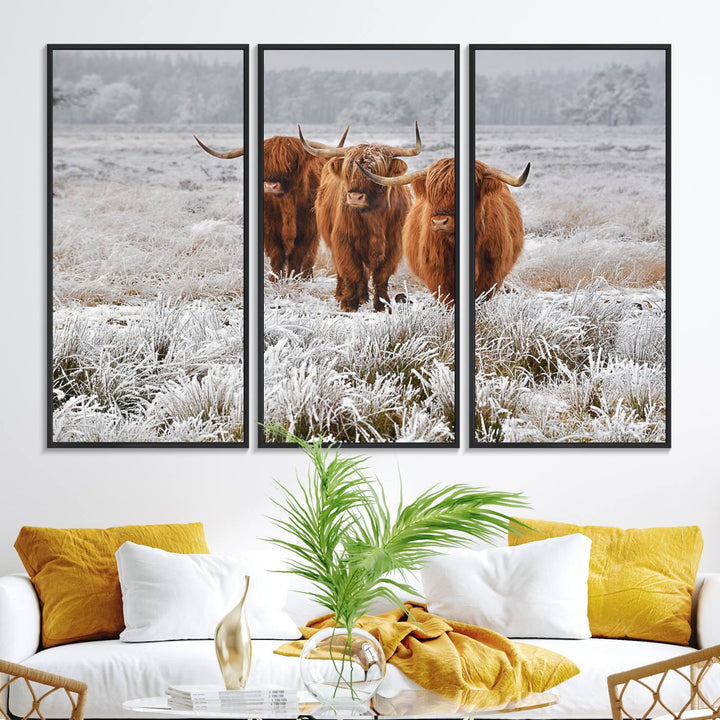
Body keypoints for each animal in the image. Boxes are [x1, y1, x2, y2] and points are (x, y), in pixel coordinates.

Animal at [193, 127, 348, 278]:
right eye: (263, 162)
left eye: (291, 161)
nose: (270, 186)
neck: (287, 204)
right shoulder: (270, 232)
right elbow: (277, 257)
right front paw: (275, 279)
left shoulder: (307, 231)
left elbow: (297, 258)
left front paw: (293, 279)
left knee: (309, 258)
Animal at [298, 123, 422, 312]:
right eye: (348, 171)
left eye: (375, 171)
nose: (355, 197)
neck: (374, 217)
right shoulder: (343, 241)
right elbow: (352, 272)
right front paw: (348, 304)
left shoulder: (394, 245)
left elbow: (381, 276)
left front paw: (382, 305)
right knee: (345, 271)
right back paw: (342, 295)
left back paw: (363, 297)